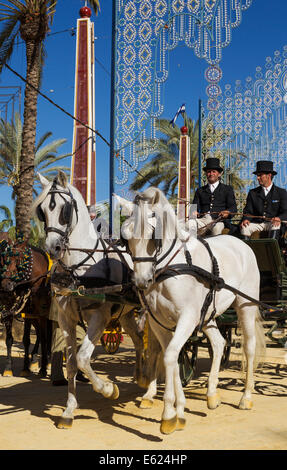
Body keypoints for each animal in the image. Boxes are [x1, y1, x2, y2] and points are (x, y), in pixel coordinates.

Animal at [0, 232, 52, 378]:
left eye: (17, 260)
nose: (6, 284)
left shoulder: (36, 312)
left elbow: (30, 339)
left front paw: (31, 368)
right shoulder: (10, 309)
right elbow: (11, 339)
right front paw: (9, 368)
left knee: (48, 335)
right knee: (40, 333)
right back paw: (34, 360)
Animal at [33, 173, 159, 430]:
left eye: (64, 209)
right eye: (42, 211)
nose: (53, 247)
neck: (78, 269)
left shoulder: (99, 319)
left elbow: (83, 359)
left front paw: (108, 389)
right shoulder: (66, 320)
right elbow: (72, 363)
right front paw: (69, 410)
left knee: (155, 347)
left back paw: (150, 391)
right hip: (125, 313)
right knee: (138, 340)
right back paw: (140, 376)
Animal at [118, 186, 266, 434]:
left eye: (153, 235)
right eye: (126, 237)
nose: (140, 281)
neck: (170, 268)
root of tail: (242, 244)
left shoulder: (187, 319)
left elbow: (170, 356)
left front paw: (169, 414)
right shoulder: (159, 321)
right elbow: (170, 356)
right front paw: (178, 412)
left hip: (245, 305)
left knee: (249, 347)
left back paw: (246, 397)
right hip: (207, 315)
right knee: (219, 343)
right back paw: (212, 393)